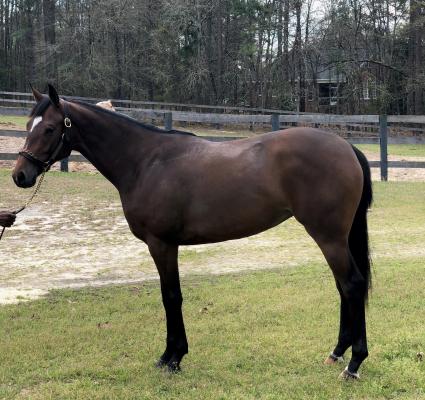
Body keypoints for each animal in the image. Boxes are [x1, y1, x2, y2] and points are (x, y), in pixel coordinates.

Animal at [13, 86, 372, 380]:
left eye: (49, 128)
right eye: (28, 126)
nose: (20, 175)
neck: (145, 161)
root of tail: (346, 146)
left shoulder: (161, 244)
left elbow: (171, 296)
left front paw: (172, 358)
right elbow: (171, 295)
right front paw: (171, 356)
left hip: (328, 236)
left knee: (352, 285)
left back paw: (354, 364)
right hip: (336, 238)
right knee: (343, 287)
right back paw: (337, 353)